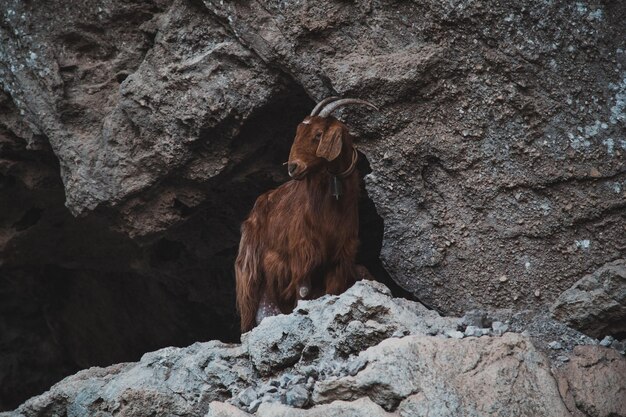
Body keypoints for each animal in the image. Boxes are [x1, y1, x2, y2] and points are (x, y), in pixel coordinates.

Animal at [234, 97, 376, 332]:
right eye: (298, 131)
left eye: (318, 134)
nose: (293, 167)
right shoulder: (302, 251)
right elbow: (302, 290)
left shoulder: (341, 255)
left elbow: (333, 289)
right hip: (250, 269)